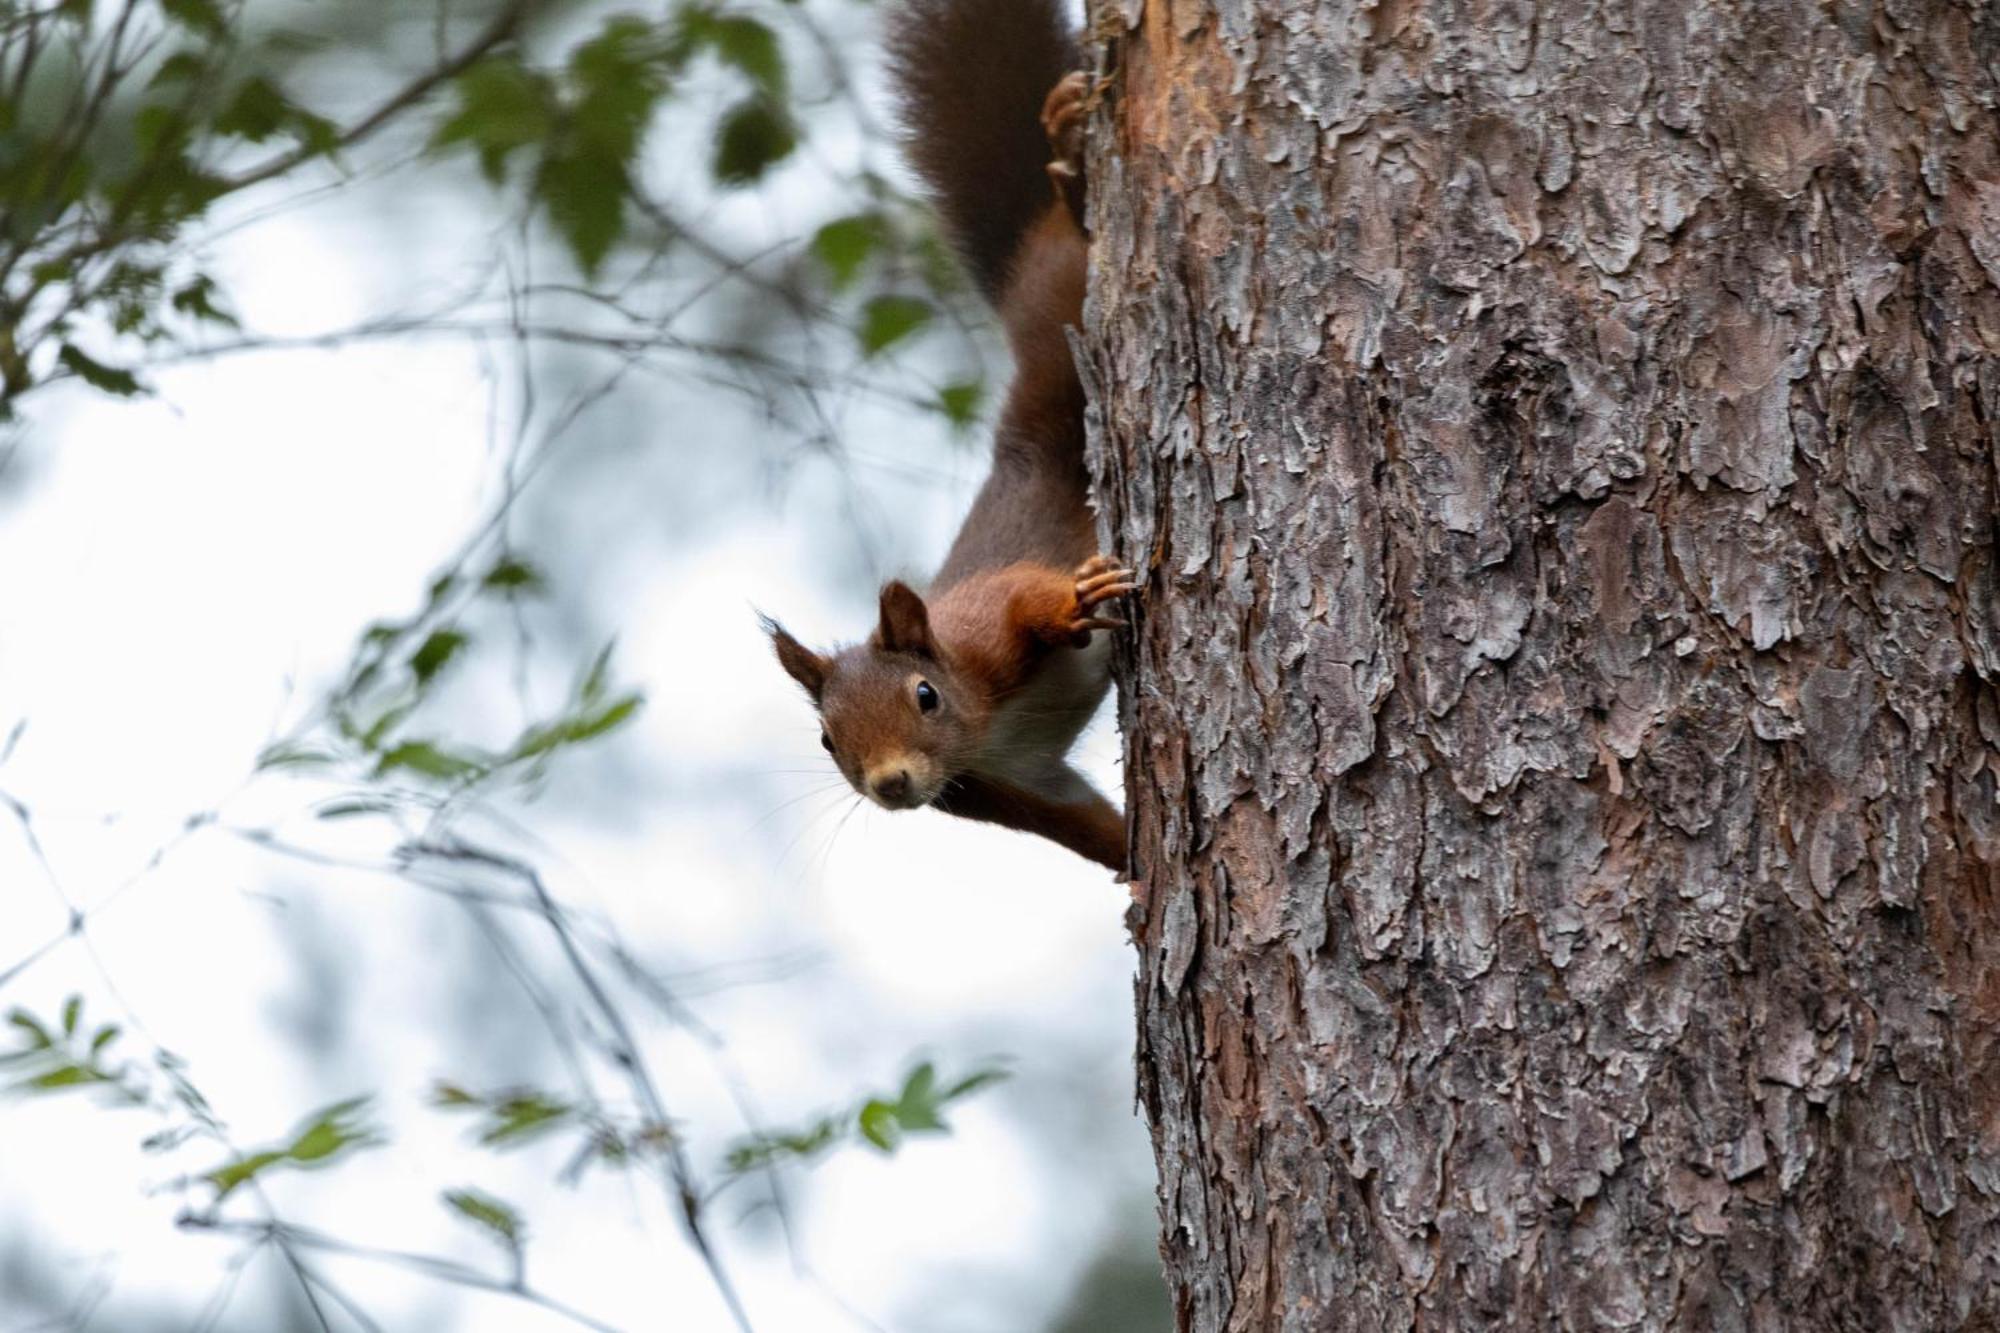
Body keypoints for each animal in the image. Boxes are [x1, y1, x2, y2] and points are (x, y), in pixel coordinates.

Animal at [764, 0, 1136, 872]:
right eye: (826, 740)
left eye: (924, 695)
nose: (893, 782)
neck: (982, 729)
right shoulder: (1013, 784)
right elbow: (1093, 826)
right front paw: (1143, 875)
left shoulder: (981, 627)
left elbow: (1028, 593)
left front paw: (1077, 598)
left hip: (1059, 307)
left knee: (1069, 239)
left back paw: (1072, 161)